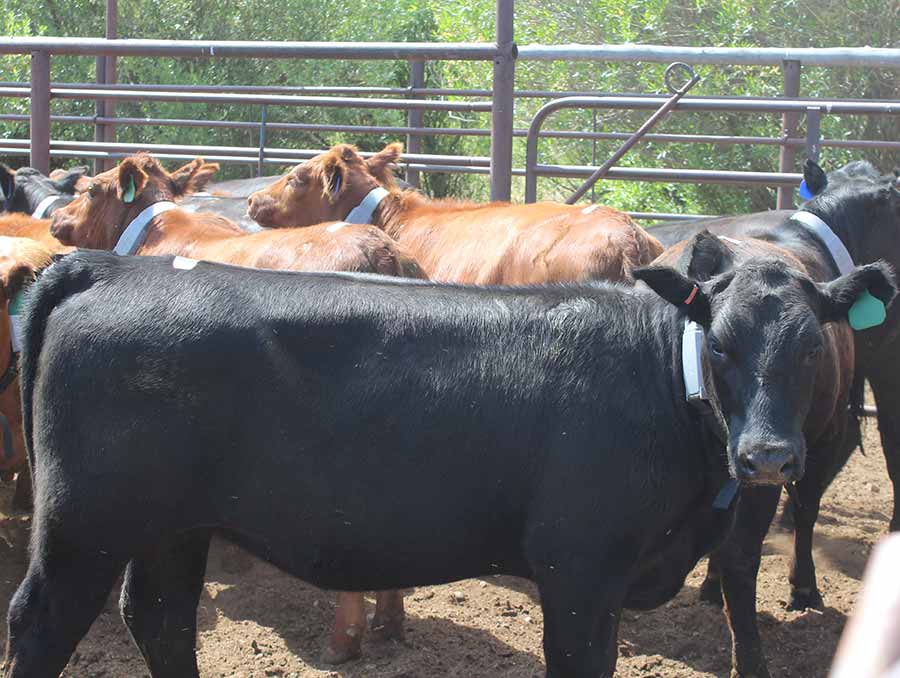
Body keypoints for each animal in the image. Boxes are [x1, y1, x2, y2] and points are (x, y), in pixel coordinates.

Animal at [7, 250, 892, 678]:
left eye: (812, 347)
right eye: (722, 343)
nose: (768, 455)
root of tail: (109, 266)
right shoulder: (578, 568)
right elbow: (579, 663)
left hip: (173, 526)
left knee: (159, 619)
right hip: (84, 522)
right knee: (41, 621)